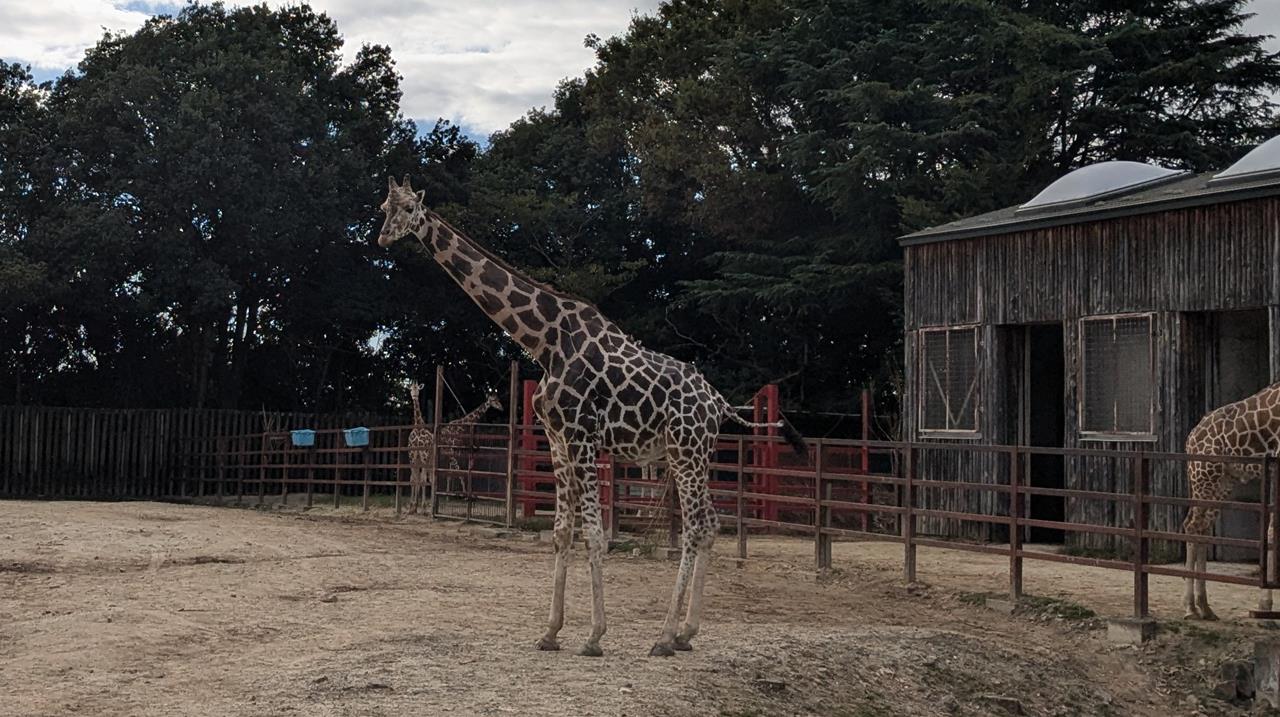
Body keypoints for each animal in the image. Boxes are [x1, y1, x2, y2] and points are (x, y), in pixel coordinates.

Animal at [373, 175, 803, 655]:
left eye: (409, 208)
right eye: (383, 207)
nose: (384, 237)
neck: (544, 343)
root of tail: (719, 403)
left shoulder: (582, 437)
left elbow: (595, 534)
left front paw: (594, 636)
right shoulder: (558, 441)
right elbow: (563, 531)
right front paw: (550, 632)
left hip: (686, 451)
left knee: (694, 525)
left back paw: (664, 636)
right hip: (689, 454)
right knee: (710, 523)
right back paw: (686, 632)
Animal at [1177, 384, 1280, 619]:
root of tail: (1190, 438)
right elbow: (1273, 530)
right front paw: (1265, 607)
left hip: (1222, 483)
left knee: (1204, 528)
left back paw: (1205, 607)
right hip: (1204, 477)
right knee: (1192, 525)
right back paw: (1190, 607)